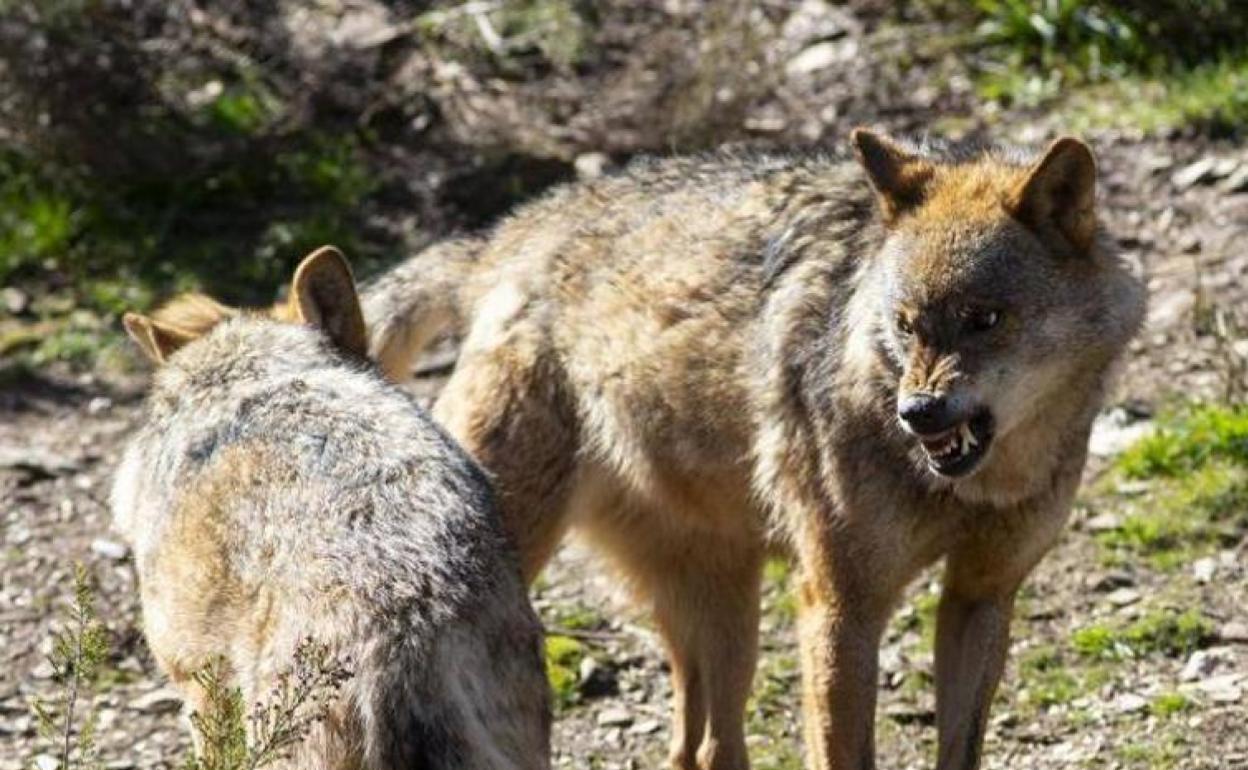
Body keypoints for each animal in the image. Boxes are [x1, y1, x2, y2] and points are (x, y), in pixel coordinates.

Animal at [361, 132, 1143, 768]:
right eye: (906, 324)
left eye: (985, 320)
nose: (917, 414)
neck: (972, 484)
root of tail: (509, 234)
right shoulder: (838, 603)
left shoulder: (982, 594)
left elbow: (962, 749)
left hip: (726, 602)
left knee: (699, 750)